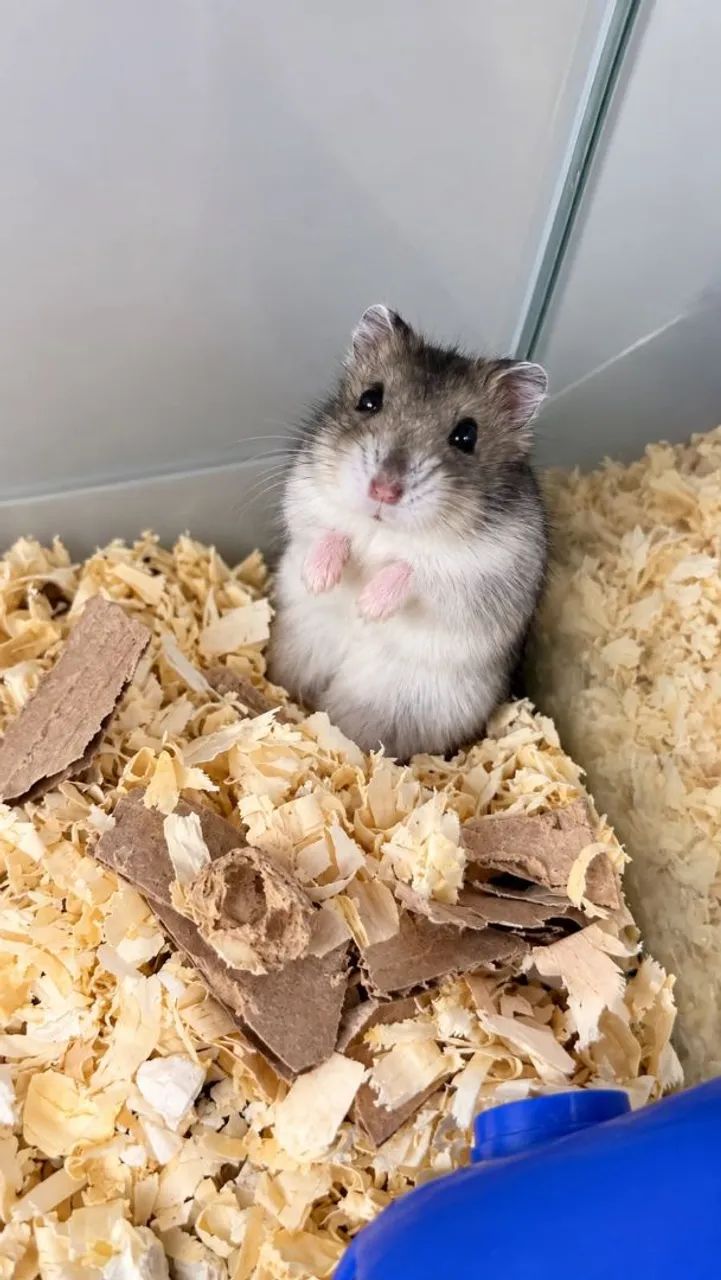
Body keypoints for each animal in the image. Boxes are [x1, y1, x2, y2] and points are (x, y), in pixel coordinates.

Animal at [268, 304, 548, 760]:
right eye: (369, 399)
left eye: (466, 435)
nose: (383, 490)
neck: (382, 529)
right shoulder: (307, 499)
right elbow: (327, 534)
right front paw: (320, 582)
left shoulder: (479, 575)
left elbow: (412, 571)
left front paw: (367, 608)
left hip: (393, 706)